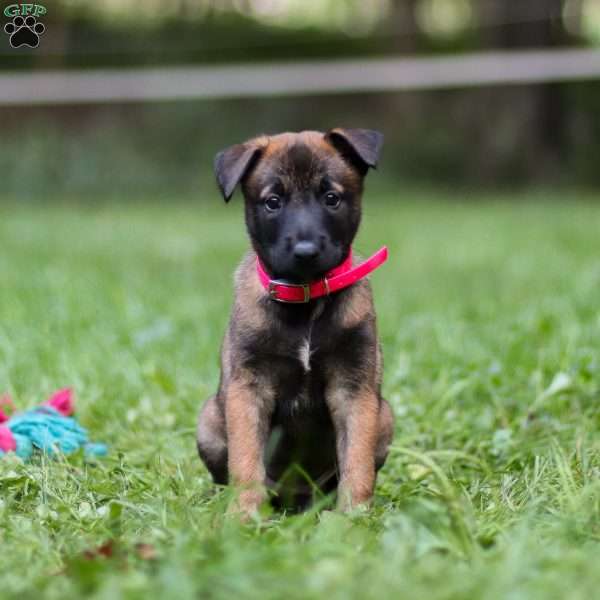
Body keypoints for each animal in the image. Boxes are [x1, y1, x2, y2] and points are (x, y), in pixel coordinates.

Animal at [197, 127, 394, 516]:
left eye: (331, 198)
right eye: (273, 202)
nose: (305, 252)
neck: (306, 302)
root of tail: (297, 497)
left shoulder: (354, 389)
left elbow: (357, 460)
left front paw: (353, 514)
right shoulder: (248, 388)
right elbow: (246, 460)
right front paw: (244, 514)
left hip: (385, 416)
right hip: (209, 417)